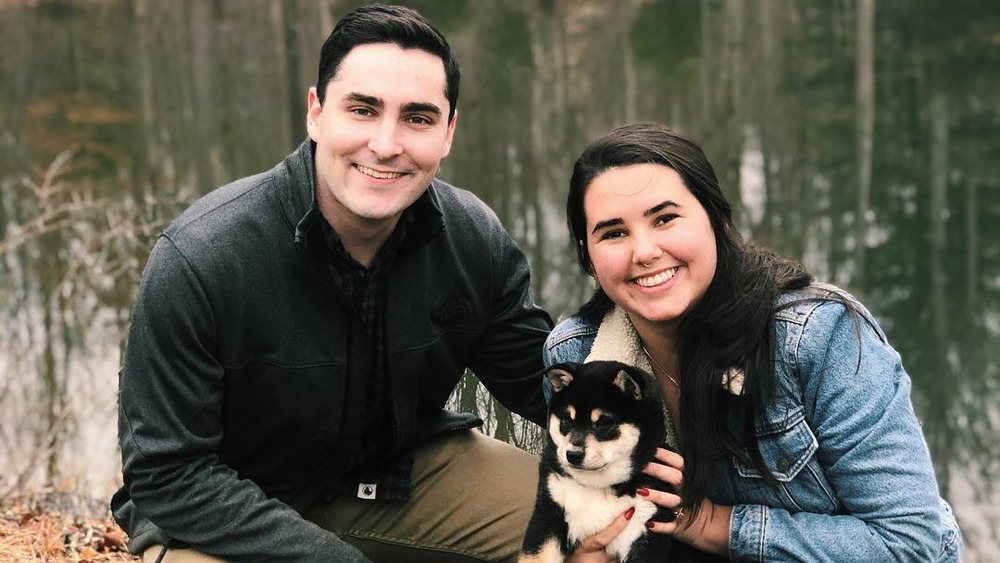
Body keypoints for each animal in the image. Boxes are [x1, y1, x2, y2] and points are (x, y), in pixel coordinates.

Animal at [520, 362, 676, 563]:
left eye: (603, 423)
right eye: (567, 421)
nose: (573, 454)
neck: (598, 484)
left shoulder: (642, 527)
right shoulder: (549, 515)